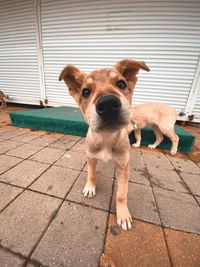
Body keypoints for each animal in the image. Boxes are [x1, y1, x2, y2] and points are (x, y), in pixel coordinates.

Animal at [58, 60, 149, 230]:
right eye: (86, 92)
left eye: (121, 84)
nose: (107, 104)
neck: (107, 138)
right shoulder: (91, 157)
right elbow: (91, 174)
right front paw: (90, 187)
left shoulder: (123, 166)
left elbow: (122, 193)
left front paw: (123, 215)